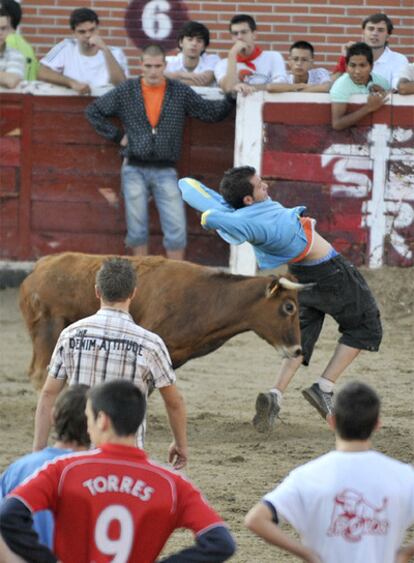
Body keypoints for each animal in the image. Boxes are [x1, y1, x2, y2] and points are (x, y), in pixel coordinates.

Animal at [20, 253, 310, 390]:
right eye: (289, 307)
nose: (298, 350)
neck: (207, 298)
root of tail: (40, 267)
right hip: (49, 330)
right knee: (40, 374)